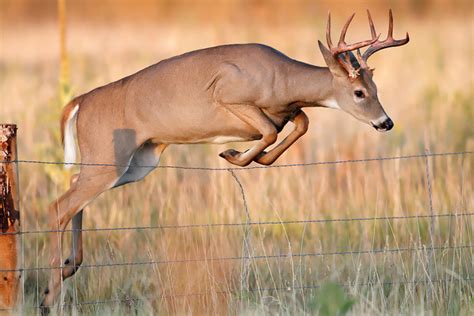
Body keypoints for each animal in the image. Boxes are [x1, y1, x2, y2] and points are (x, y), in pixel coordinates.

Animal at [42, 10, 410, 312]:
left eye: (376, 87)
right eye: (359, 93)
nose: (386, 122)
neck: (281, 81)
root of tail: (78, 102)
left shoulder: (285, 112)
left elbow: (300, 123)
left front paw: (250, 157)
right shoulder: (228, 96)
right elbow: (270, 131)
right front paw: (232, 155)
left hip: (133, 162)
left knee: (73, 195)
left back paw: (69, 266)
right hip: (109, 157)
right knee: (60, 205)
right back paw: (50, 295)